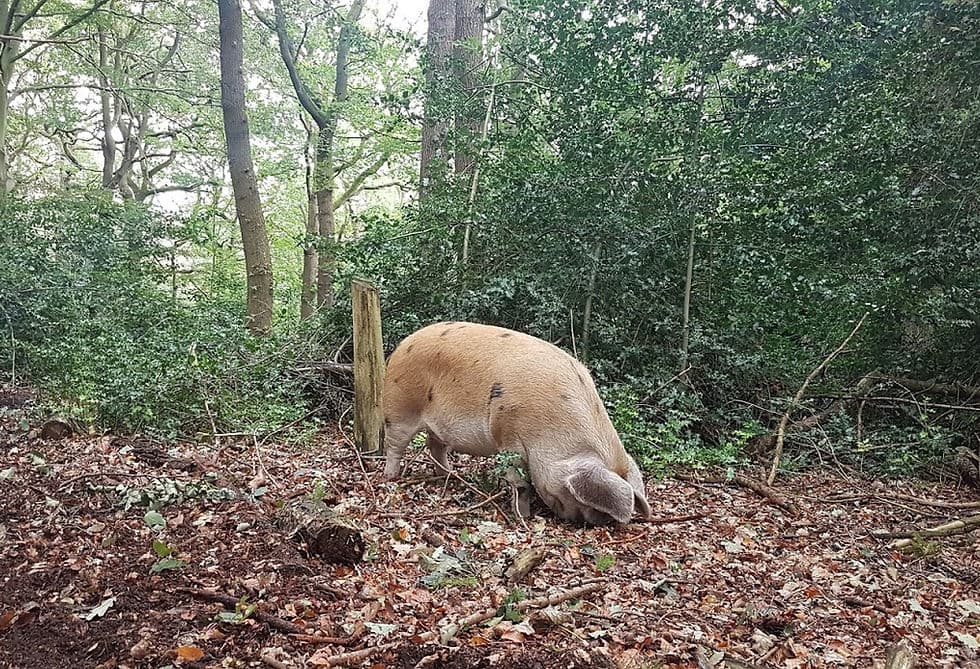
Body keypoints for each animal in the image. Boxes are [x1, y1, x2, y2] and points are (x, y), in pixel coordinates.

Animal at [382, 321, 651, 525]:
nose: (595, 522)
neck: (552, 427)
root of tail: (402, 346)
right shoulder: (508, 434)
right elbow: (520, 481)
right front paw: (524, 516)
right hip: (399, 406)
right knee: (394, 445)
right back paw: (391, 477)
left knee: (435, 445)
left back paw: (449, 475)